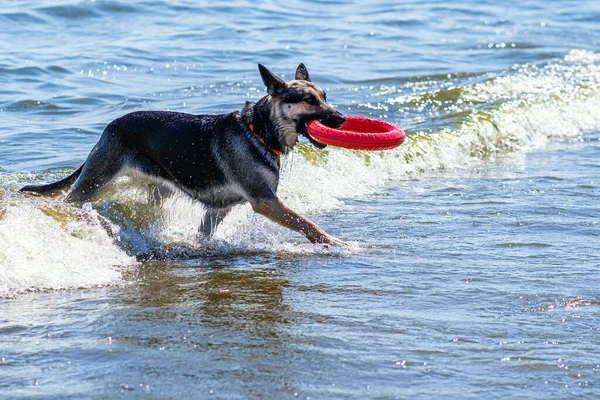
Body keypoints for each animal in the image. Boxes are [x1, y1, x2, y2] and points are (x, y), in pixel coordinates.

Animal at [19, 64, 346, 245]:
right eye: (308, 100)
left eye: (325, 97)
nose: (342, 119)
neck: (259, 131)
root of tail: (111, 126)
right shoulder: (265, 201)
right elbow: (307, 223)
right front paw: (335, 242)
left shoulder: (219, 209)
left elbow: (203, 233)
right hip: (94, 182)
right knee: (68, 201)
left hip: (157, 190)